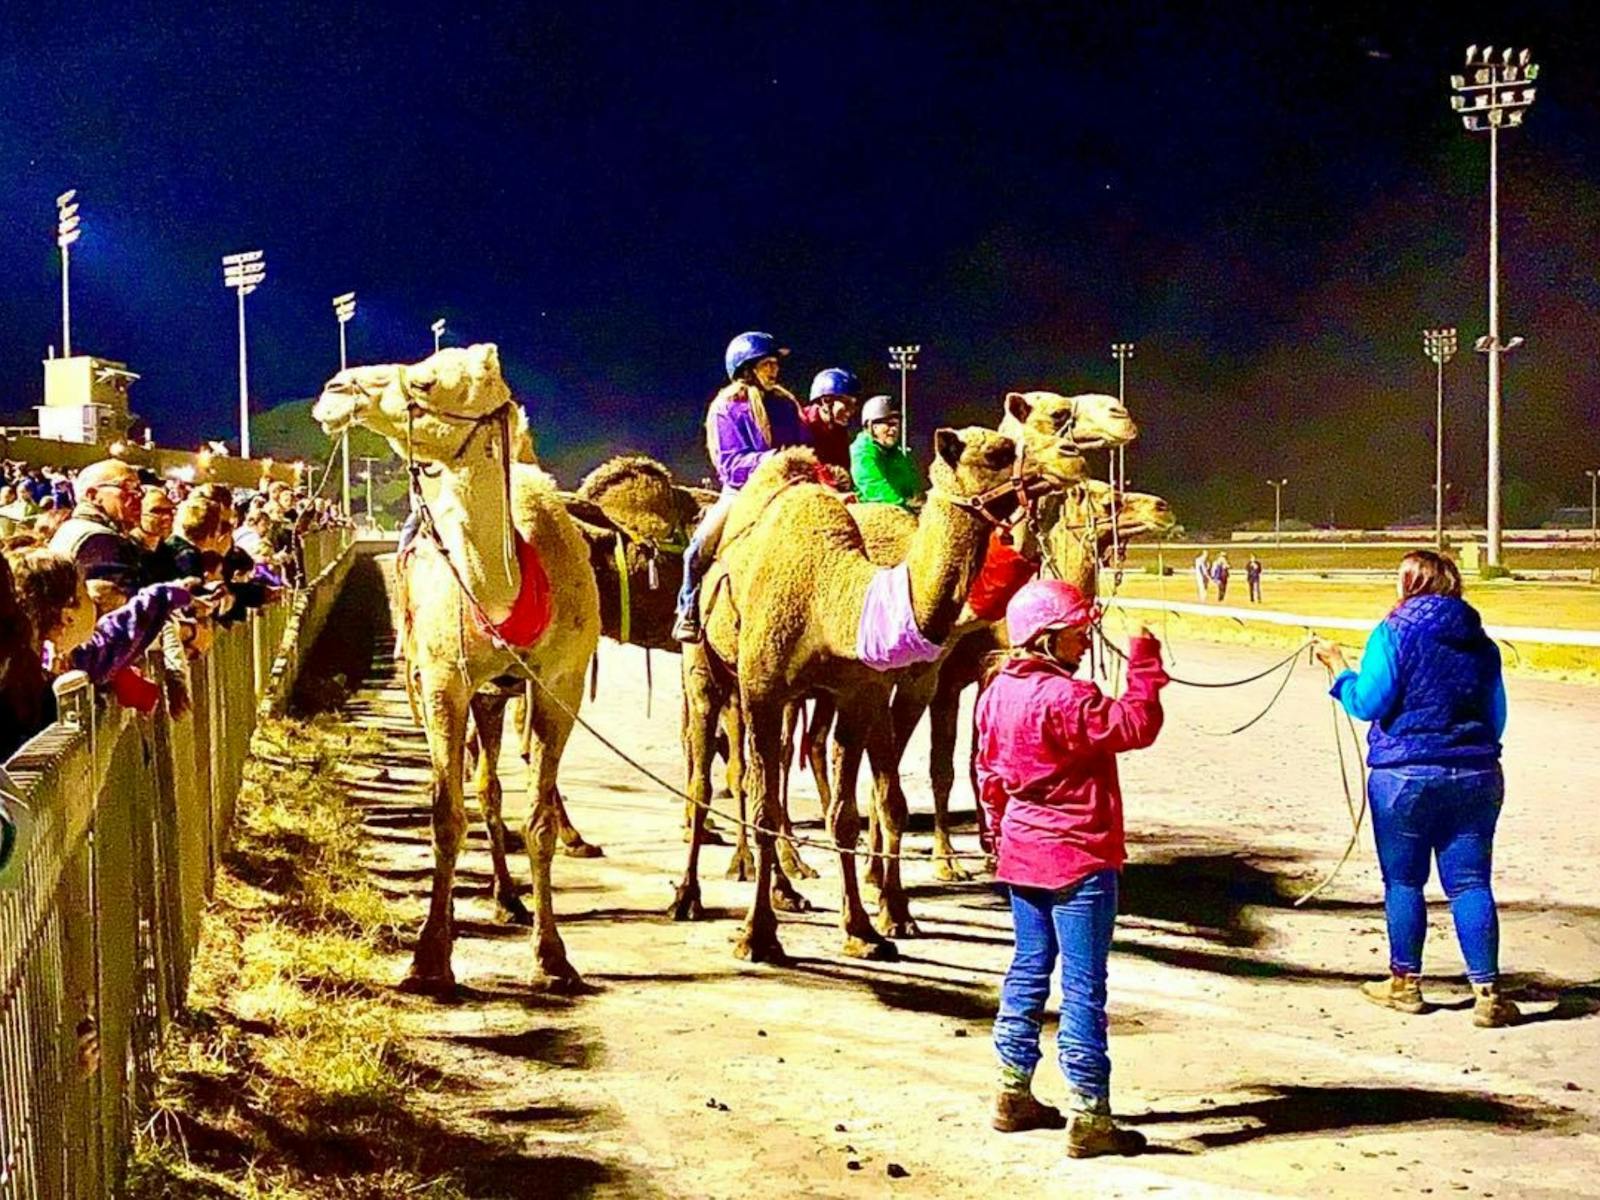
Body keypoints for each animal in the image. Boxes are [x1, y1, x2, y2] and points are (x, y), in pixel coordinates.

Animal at [312, 345, 601, 998]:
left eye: (424, 379)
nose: (335, 389)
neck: (504, 585)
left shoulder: (561, 687)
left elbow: (538, 820)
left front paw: (553, 958)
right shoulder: (444, 679)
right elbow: (445, 814)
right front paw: (429, 959)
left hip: (497, 693)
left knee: (491, 786)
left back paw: (508, 898)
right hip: (433, 682)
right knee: (471, 787)